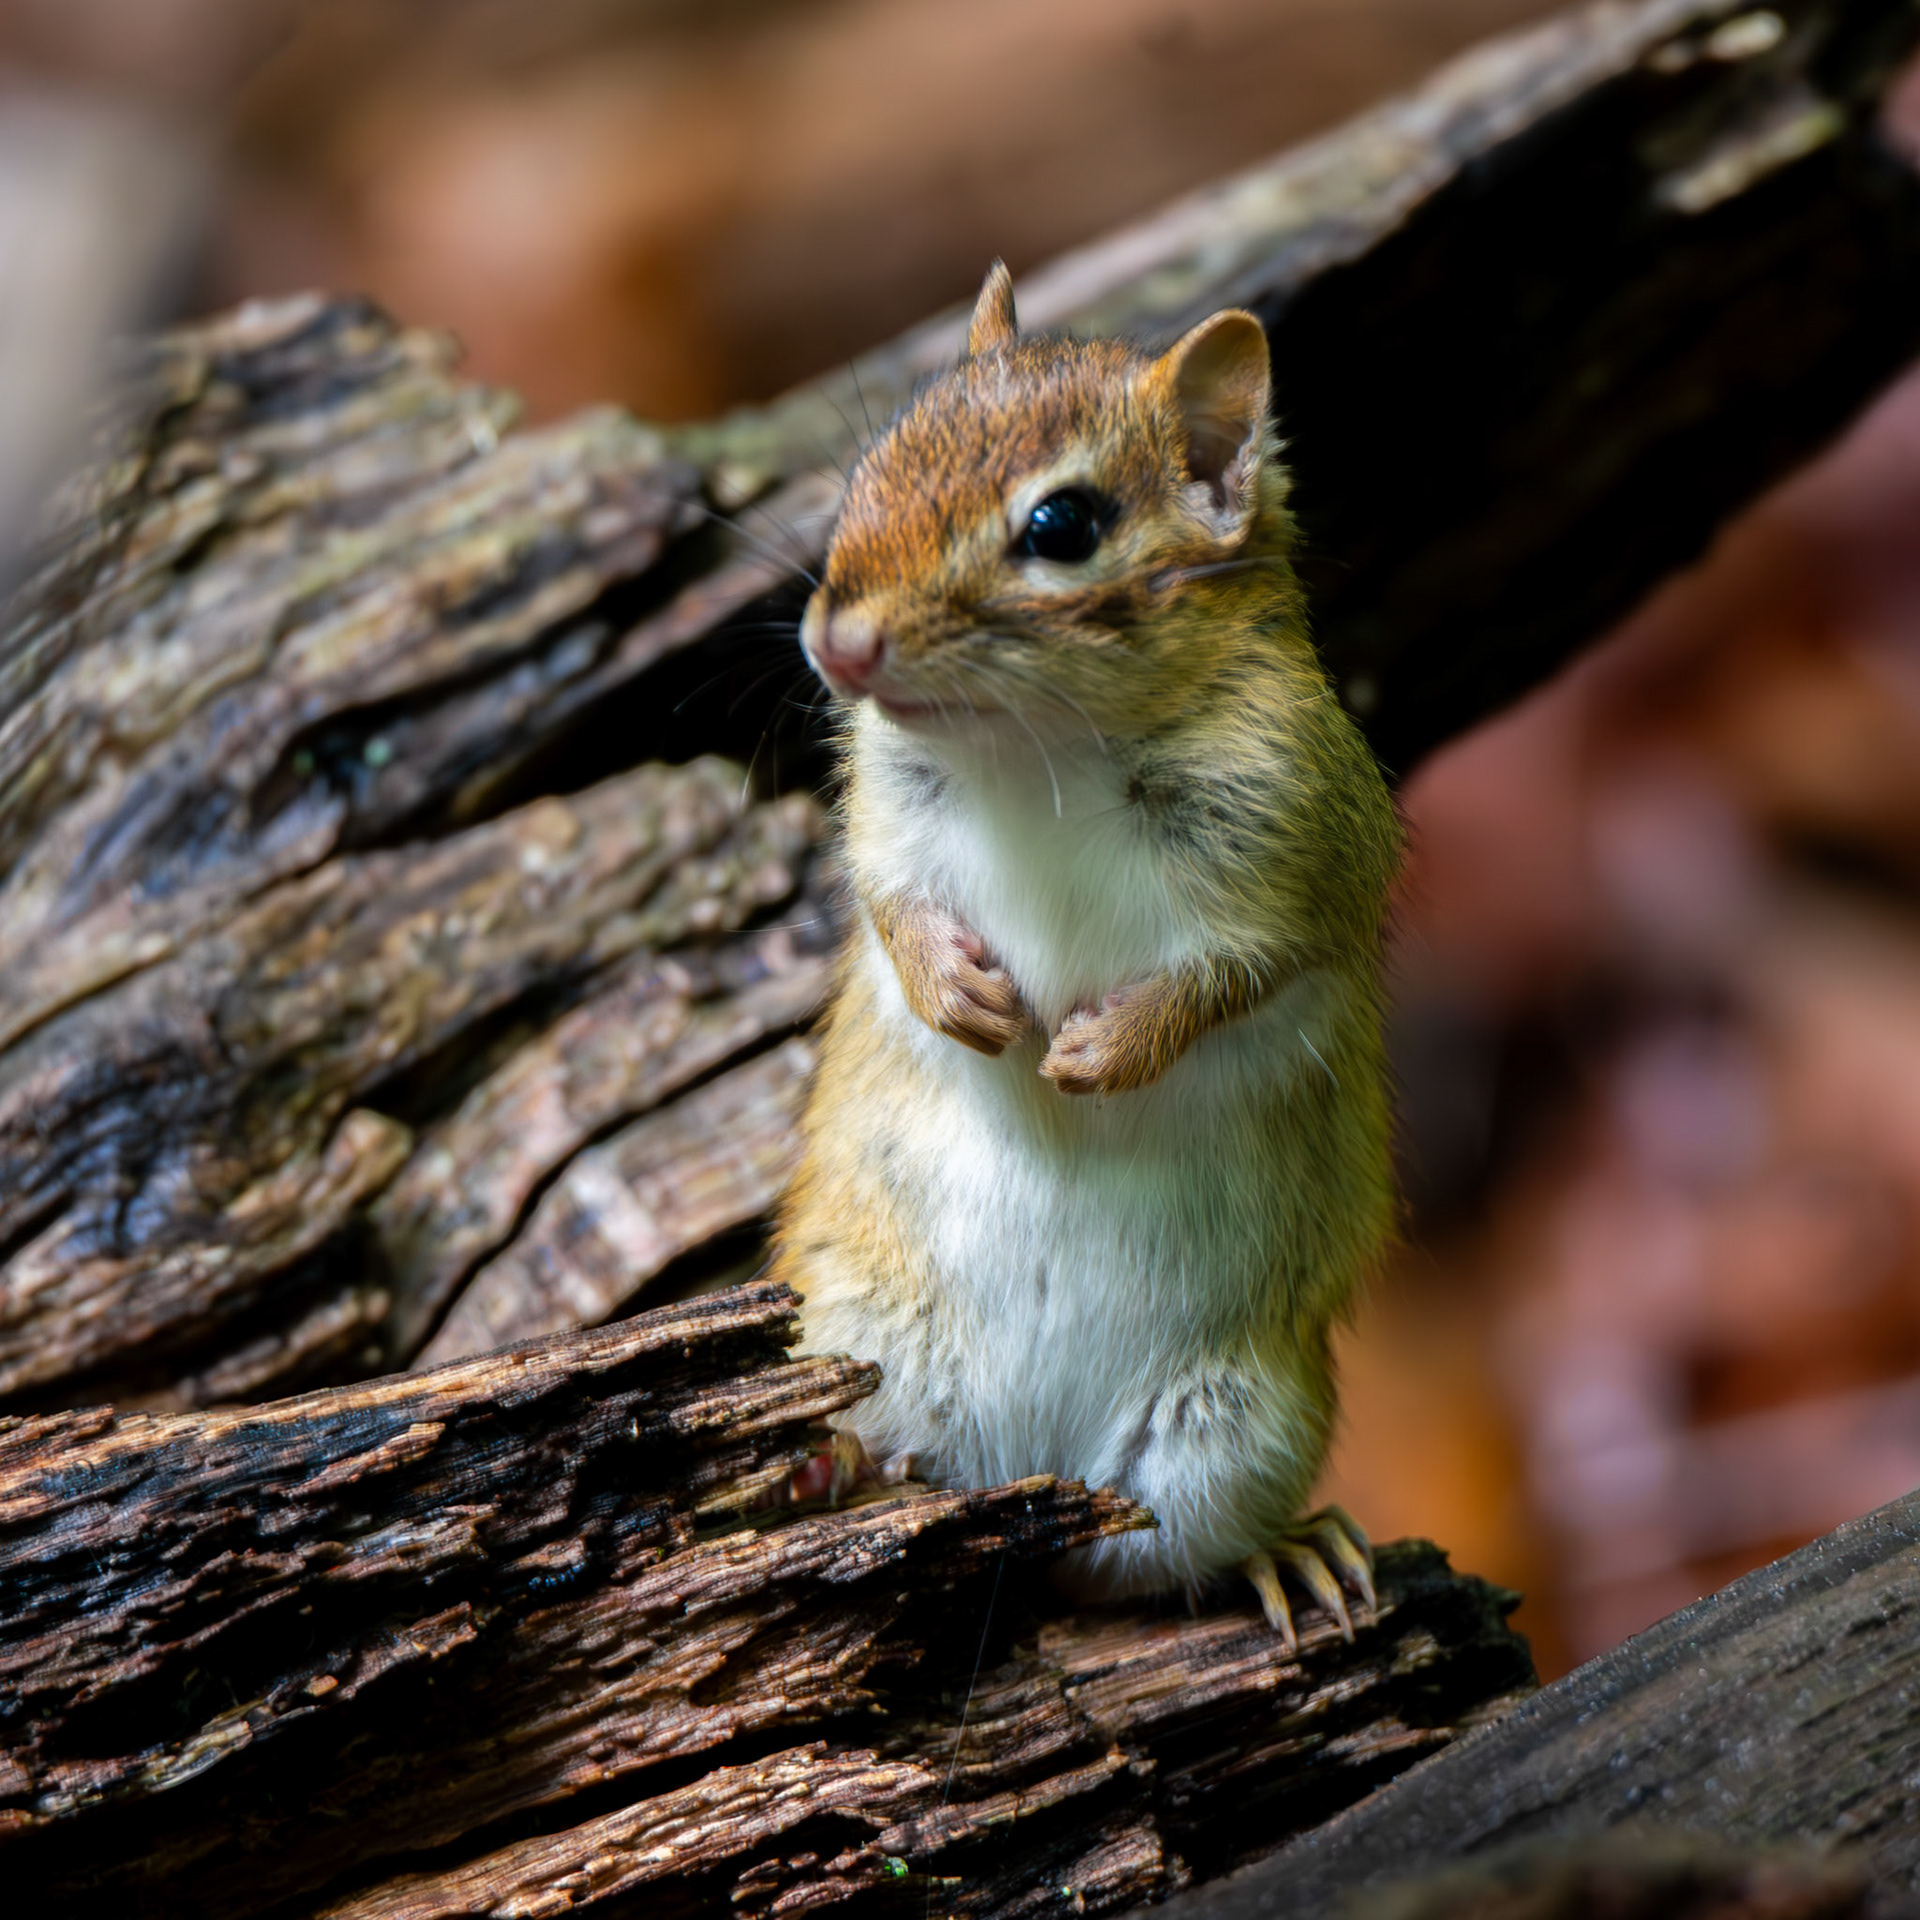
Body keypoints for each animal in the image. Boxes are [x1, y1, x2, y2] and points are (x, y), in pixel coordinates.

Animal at [767, 262, 1400, 1643]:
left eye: (1063, 527)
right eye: (873, 465)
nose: (836, 645)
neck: (1037, 751)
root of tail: (1023, 1467)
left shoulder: (1305, 850)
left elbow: (1239, 974)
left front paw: (1108, 1049)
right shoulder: (888, 823)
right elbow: (887, 908)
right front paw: (956, 991)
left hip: (1234, 1429)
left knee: (1135, 1572)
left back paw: (1288, 1554)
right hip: (861, 1336)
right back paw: (822, 1465)